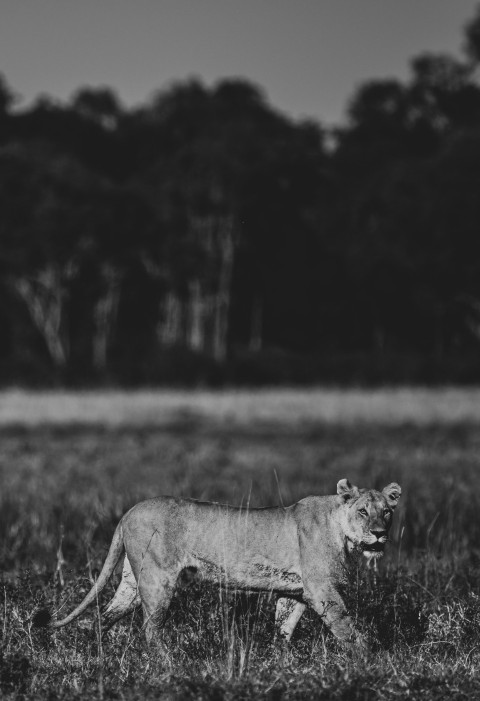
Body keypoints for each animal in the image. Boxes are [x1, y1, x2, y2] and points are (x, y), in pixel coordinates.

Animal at [34, 479, 401, 648]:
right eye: (363, 511)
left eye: (386, 512)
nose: (380, 535)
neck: (342, 532)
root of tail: (127, 512)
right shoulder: (321, 590)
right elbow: (347, 629)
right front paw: (368, 660)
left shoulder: (296, 591)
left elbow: (284, 628)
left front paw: (280, 659)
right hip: (157, 580)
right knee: (149, 629)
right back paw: (167, 664)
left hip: (131, 583)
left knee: (103, 617)